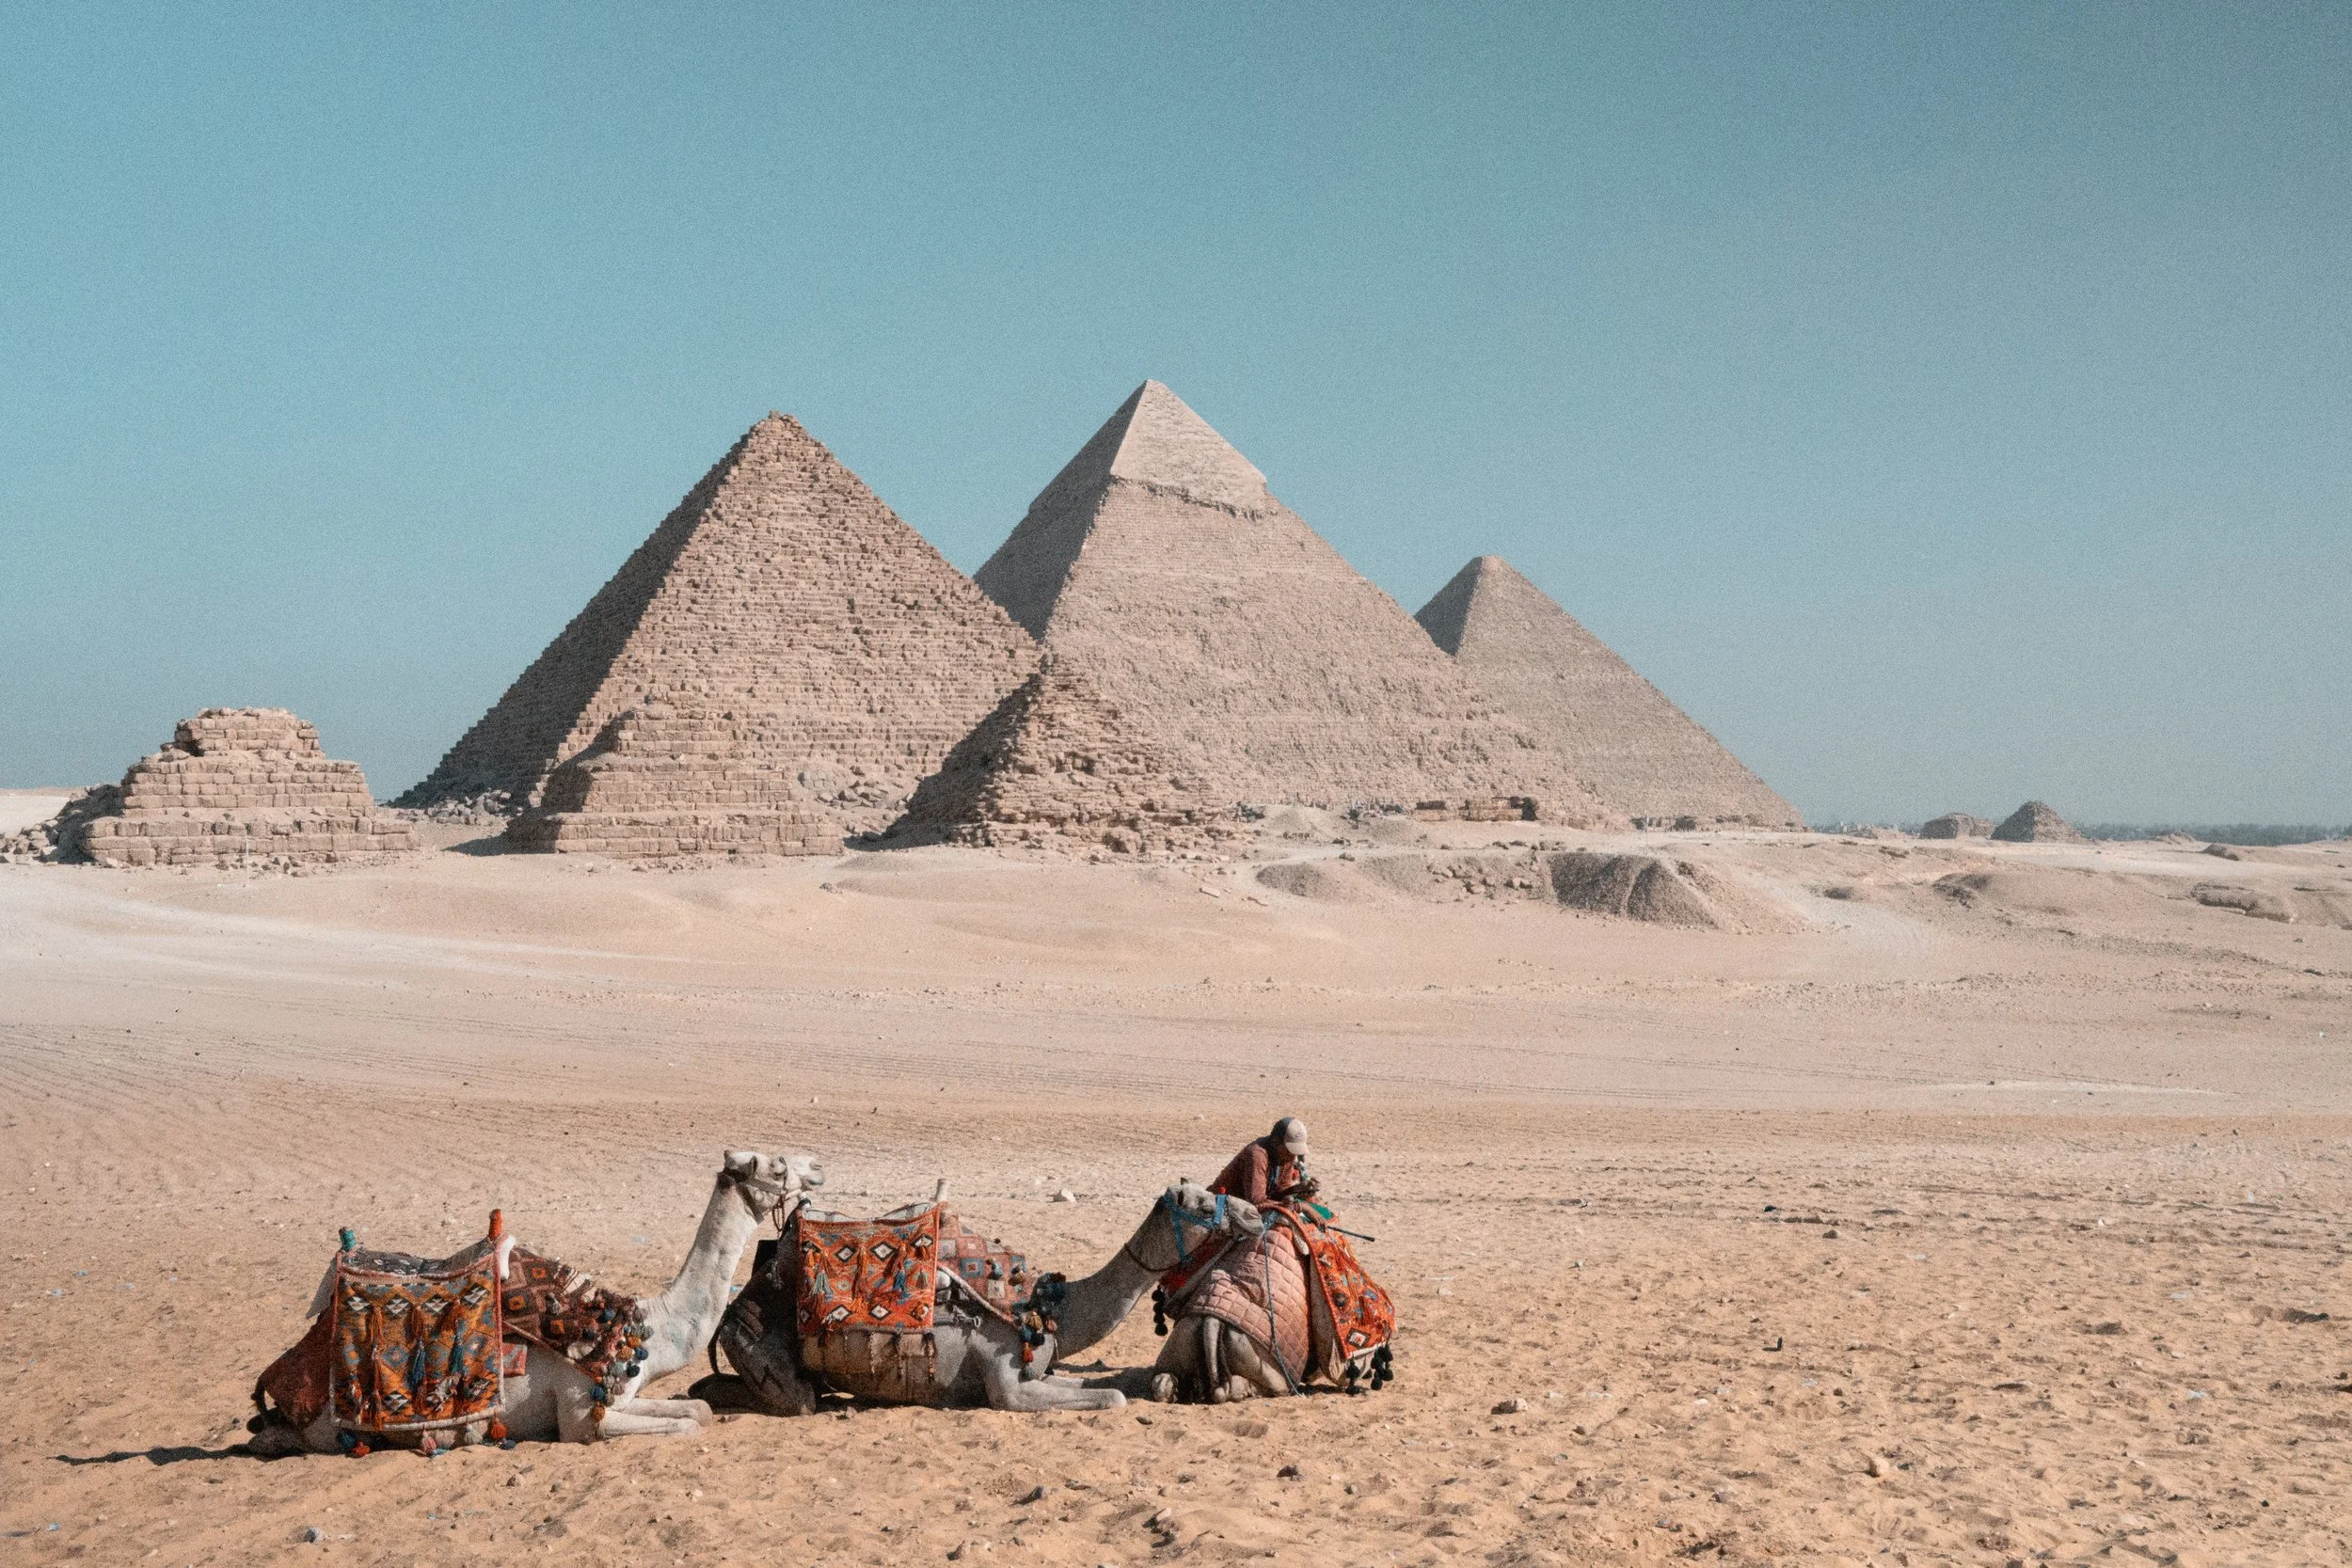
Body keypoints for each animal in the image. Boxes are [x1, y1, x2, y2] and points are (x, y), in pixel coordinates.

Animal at [250, 1149, 820, 1454]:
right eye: (776, 1165)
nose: (816, 1167)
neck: (645, 1330)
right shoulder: (580, 1412)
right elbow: (681, 1424)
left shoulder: (624, 1393)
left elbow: (697, 1410)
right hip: (330, 1424)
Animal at [717, 1179, 1262, 1414]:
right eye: (1200, 1203)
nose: (1253, 1214)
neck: (1049, 1306)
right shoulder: (1007, 1384)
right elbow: (1113, 1398)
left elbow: (1099, 1388)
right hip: (760, 1349)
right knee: (798, 1400)